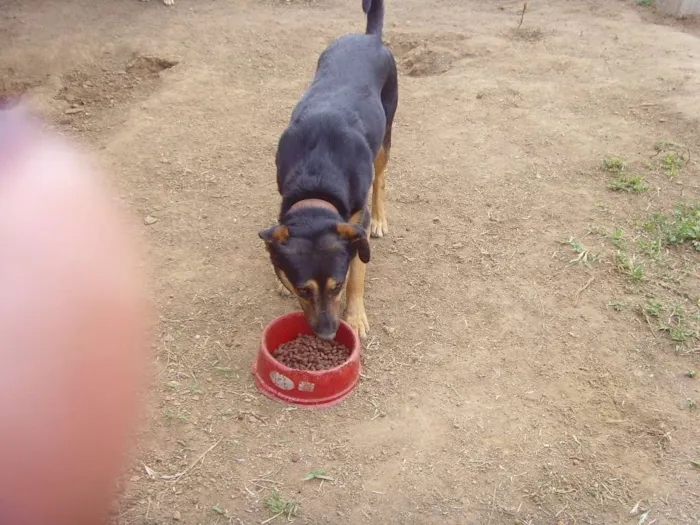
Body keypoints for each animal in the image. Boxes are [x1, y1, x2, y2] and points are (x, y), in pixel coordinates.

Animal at [258, 0, 400, 340]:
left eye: (337, 287)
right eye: (303, 290)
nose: (327, 334)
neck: (317, 177)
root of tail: (369, 37)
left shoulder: (356, 223)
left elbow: (359, 272)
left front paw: (356, 316)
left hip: (386, 133)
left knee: (381, 178)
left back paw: (380, 219)